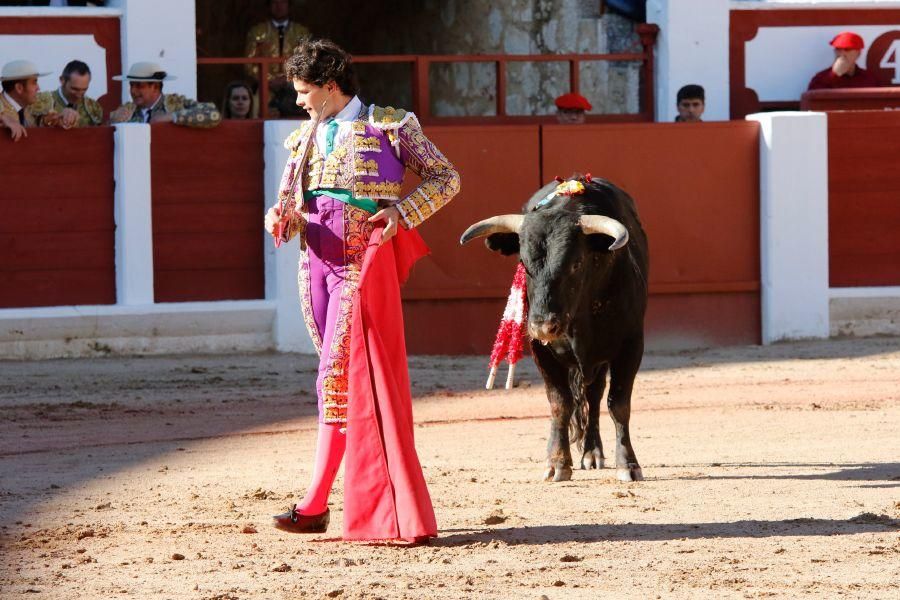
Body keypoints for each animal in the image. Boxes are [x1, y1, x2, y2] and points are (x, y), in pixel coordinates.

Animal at [464, 175, 648, 482]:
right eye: (524, 263)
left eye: (576, 264)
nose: (543, 326)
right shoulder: (541, 351)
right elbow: (560, 404)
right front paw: (557, 463)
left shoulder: (631, 344)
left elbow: (619, 404)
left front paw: (628, 464)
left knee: (594, 396)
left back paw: (593, 453)